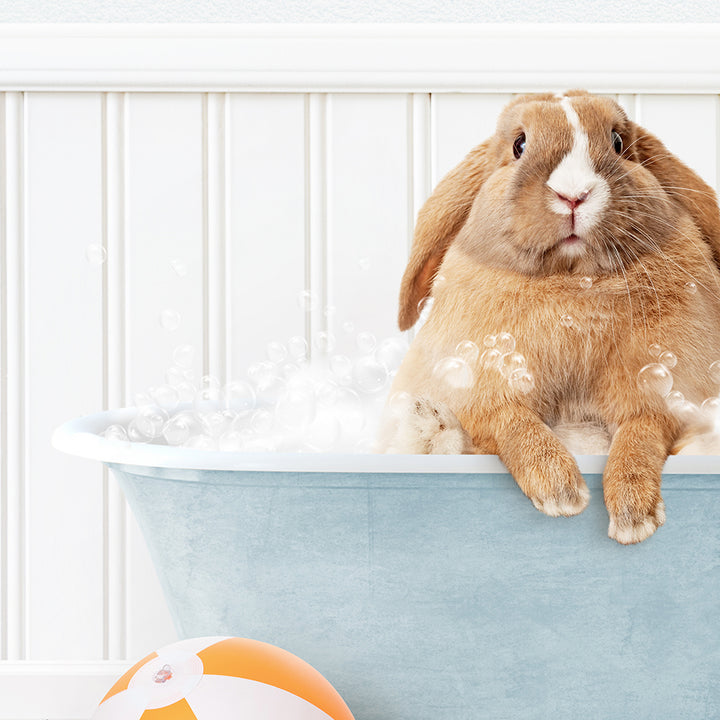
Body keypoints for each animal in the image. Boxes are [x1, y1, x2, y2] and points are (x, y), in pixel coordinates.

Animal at [380, 90, 720, 544]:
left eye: (617, 142)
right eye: (519, 145)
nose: (574, 195)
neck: (572, 283)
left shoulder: (660, 393)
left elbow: (641, 434)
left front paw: (633, 516)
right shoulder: (483, 386)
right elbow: (512, 421)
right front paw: (561, 492)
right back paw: (429, 424)